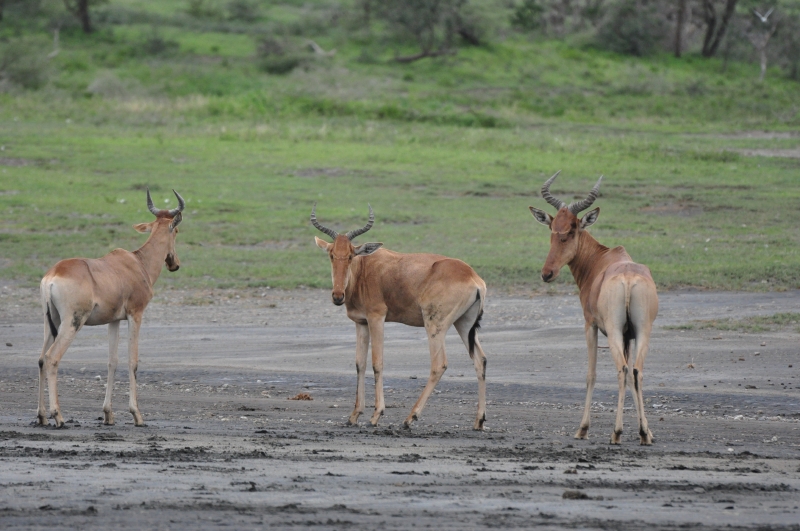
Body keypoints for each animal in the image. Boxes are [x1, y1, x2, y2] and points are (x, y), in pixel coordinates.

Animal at [36, 189, 185, 428]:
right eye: (177, 230)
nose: (175, 264)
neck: (136, 263)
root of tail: (53, 275)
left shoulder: (114, 320)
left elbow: (112, 361)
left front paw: (108, 414)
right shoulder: (136, 314)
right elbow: (133, 361)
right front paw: (137, 415)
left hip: (51, 321)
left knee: (41, 359)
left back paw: (41, 416)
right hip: (72, 322)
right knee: (51, 358)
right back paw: (58, 416)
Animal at [311, 204, 488, 430]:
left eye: (351, 255)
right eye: (332, 254)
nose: (337, 296)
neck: (365, 269)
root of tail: (473, 278)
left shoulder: (377, 318)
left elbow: (377, 362)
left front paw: (376, 415)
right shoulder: (361, 323)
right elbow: (360, 364)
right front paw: (354, 415)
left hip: (435, 324)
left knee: (439, 364)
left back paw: (410, 418)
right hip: (464, 324)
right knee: (480, 360)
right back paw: (479, 420)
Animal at [528, 172, 659, 445]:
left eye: (572, 229)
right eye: (552, 228)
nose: (547, 273)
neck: (601, 260)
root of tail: (628, 279)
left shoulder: (591, 325)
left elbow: (591, 374)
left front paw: (583, 429)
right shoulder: (629, 335)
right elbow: (632, 377)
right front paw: (647, 431)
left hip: (613, 331)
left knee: (621, 369)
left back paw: (616, 433)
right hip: (643, 330)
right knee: (636, 370)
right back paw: (642, 434)